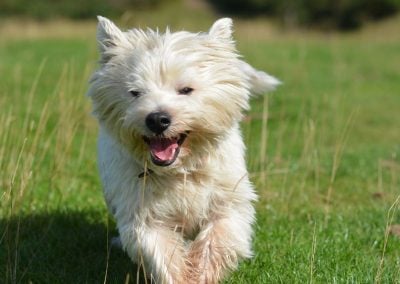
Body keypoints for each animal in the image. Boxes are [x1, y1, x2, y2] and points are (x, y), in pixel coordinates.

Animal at [87, 16, 278, 282]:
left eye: (186, 89)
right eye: (135, 92)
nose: (157, 119)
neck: (181, 170)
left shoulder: (228, 203)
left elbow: (217, 241)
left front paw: (201, 274)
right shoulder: (144, 216)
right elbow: (164, 256)